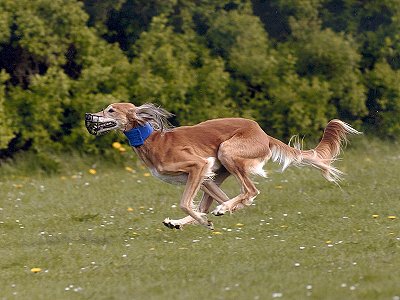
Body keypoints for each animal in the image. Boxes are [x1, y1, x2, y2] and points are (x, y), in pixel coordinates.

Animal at [86, 103, 360, 230]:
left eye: (111, 110)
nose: (89, 116)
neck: (153, 140)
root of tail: (263, 133)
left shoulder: (198, 165)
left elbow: (185, 203)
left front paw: (211, 218)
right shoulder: (200, 175)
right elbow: (198, 205)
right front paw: (204, 218)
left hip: (227, 152)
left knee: (250, 191)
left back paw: (219, 211)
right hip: (216, 173)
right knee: (227, 198)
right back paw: (185, 220)